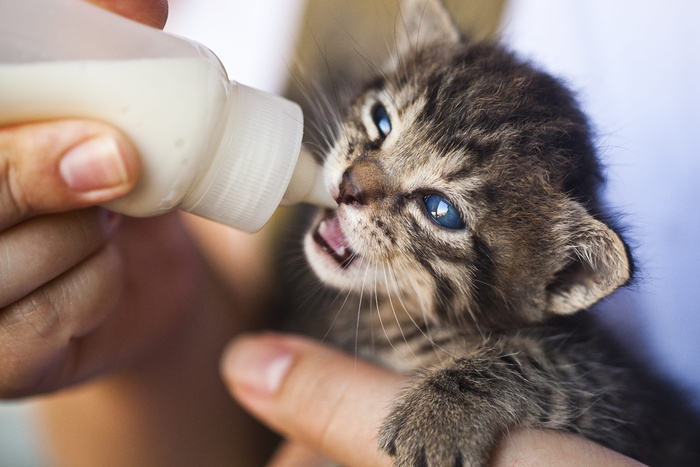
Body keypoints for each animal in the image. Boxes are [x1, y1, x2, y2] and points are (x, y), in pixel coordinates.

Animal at [280, 0, 700, 467]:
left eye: (440, 210)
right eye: (381, 120)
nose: (347, 186)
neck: (392, 318)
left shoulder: (622, 406)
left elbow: (551, 366)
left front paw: (439, 414)